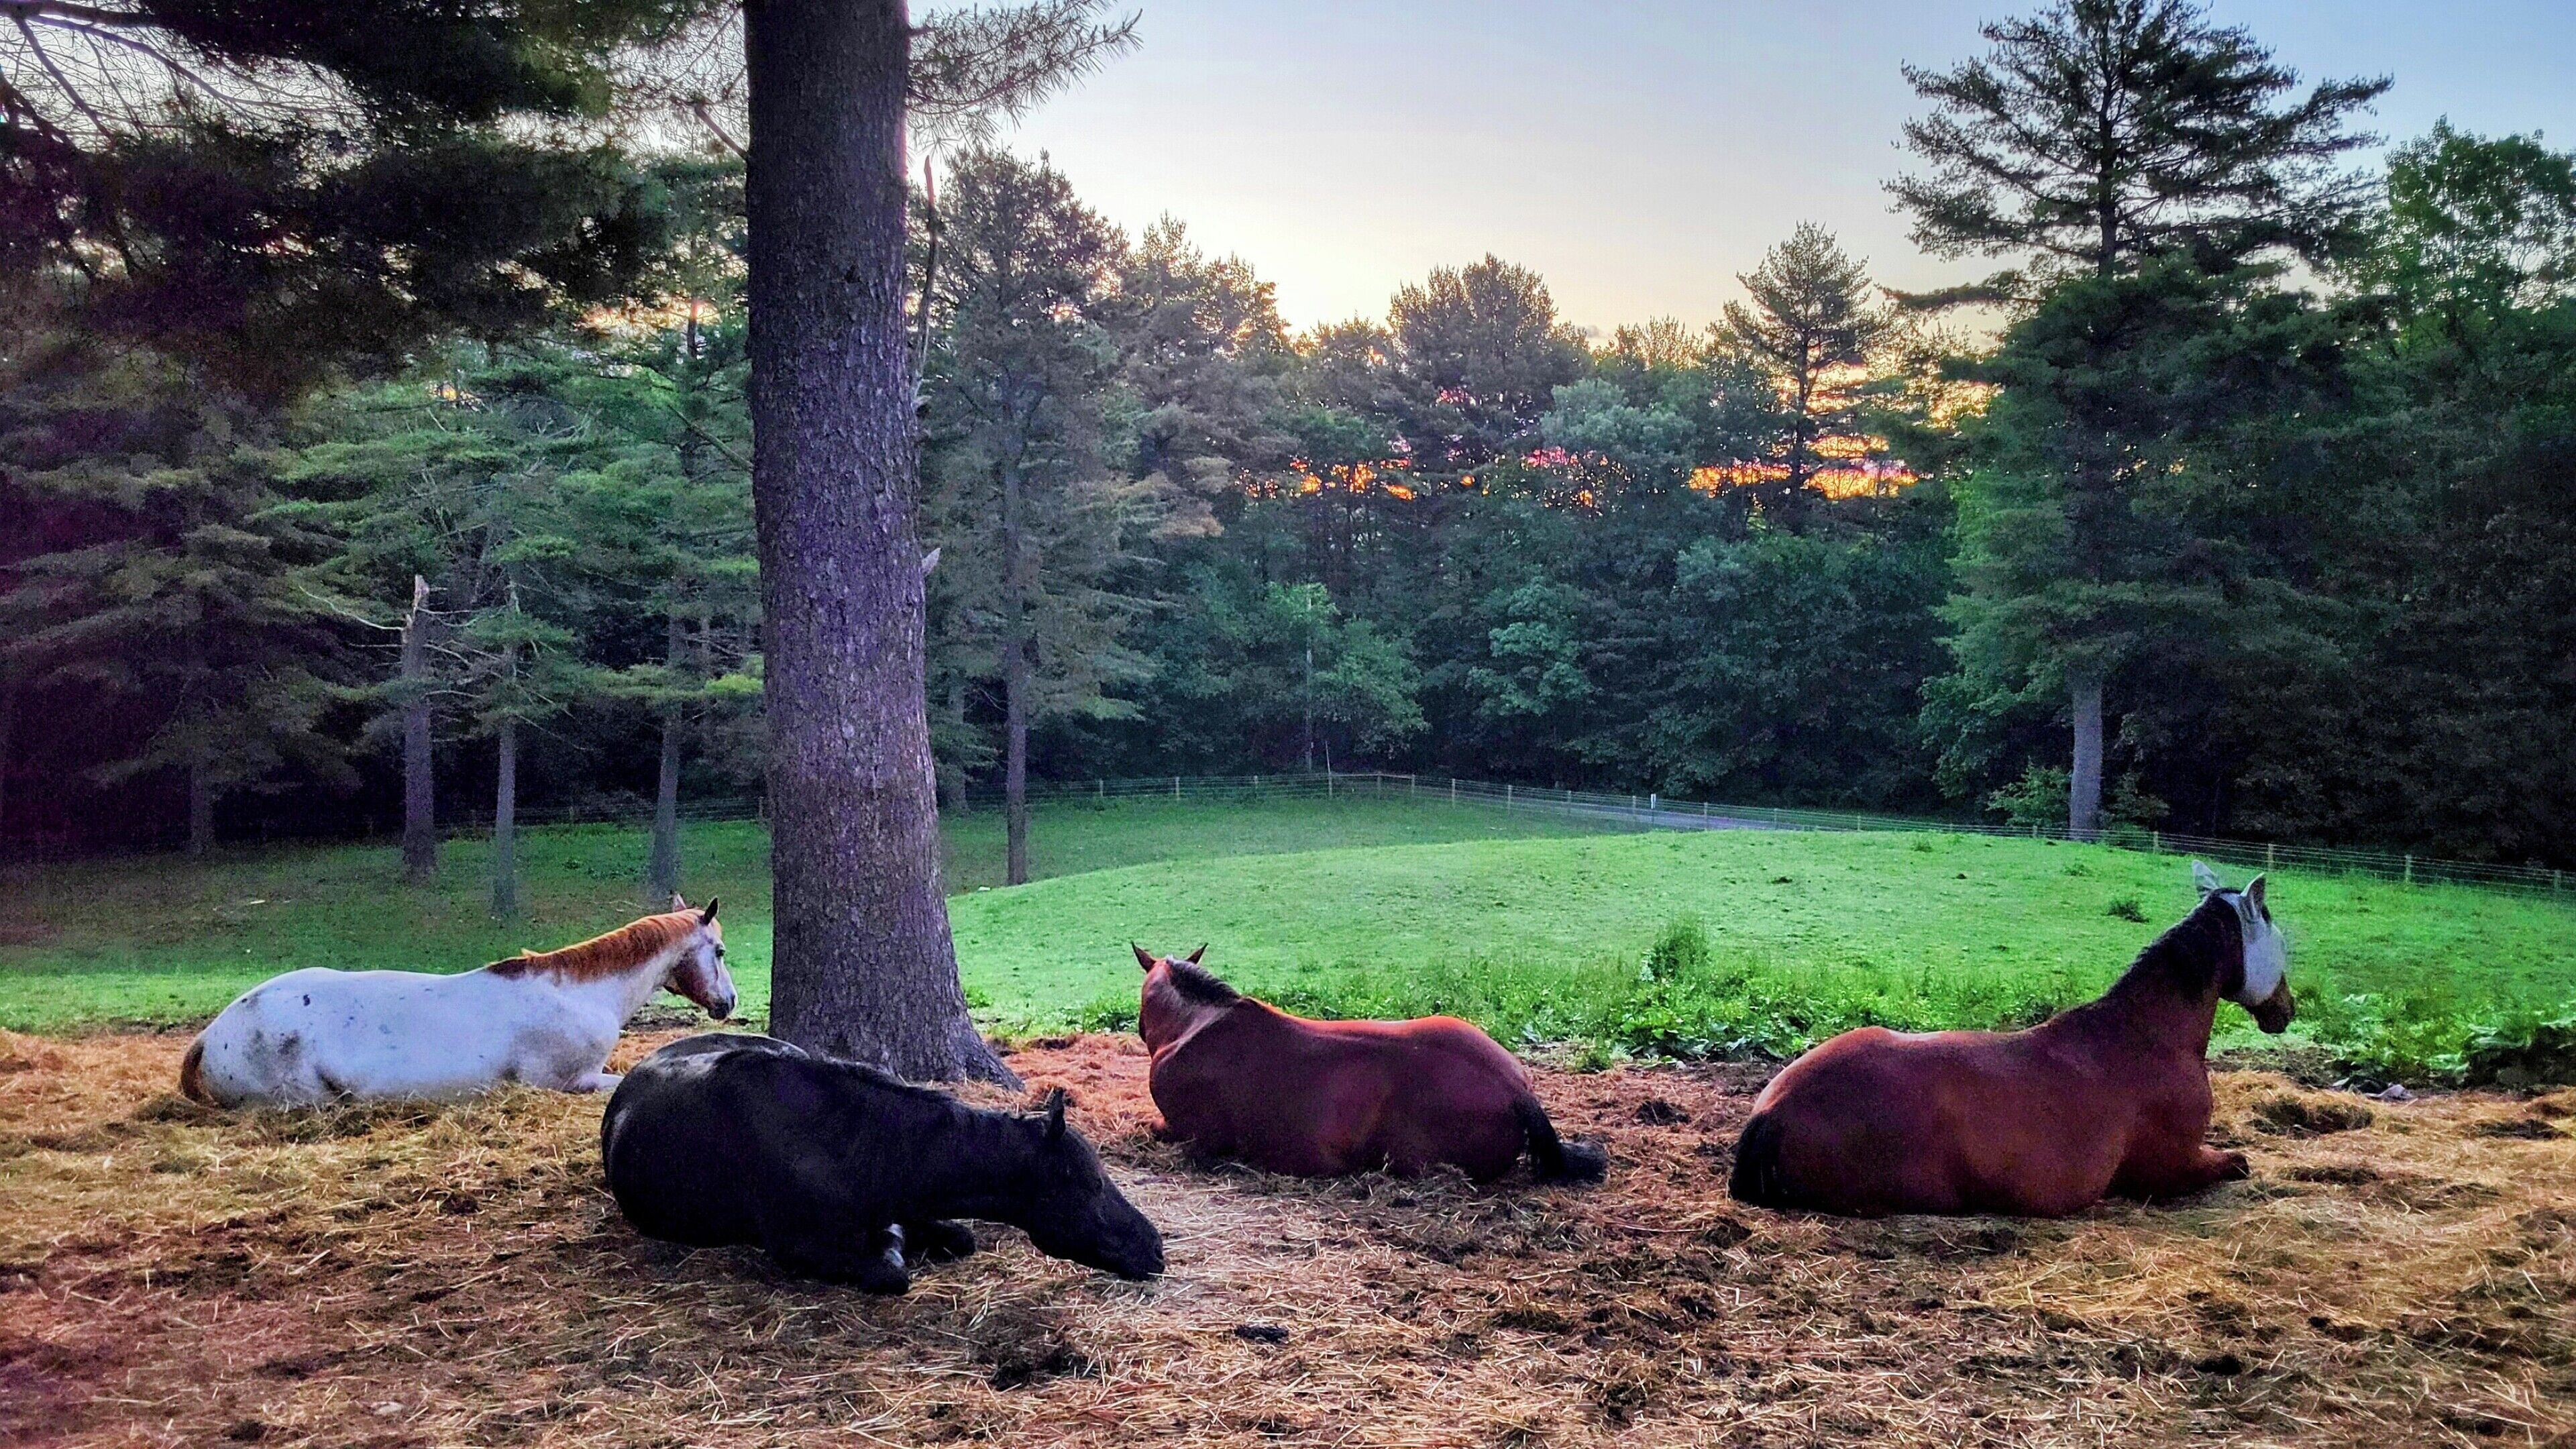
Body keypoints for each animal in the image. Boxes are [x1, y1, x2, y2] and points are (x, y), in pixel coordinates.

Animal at [1729, 862, 2294, 1217]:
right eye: (2280, 939)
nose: (2286, 1010)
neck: (2146, 1037)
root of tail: (1771, 1114)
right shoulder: (2173, 1169)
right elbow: (2237, 1162)